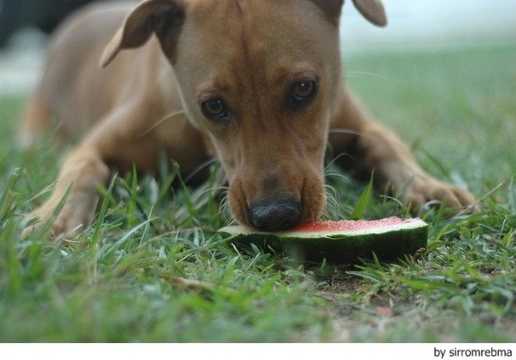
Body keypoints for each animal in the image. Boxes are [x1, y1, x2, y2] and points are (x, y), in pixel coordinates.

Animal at [19, 0, 480, 238]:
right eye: (213, 106)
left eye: (304, 88)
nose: (275, 216)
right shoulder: (95, 145)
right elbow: (83, 168)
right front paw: (56, 215)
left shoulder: (356, 121)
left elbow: (387, 144)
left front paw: (429, 186)